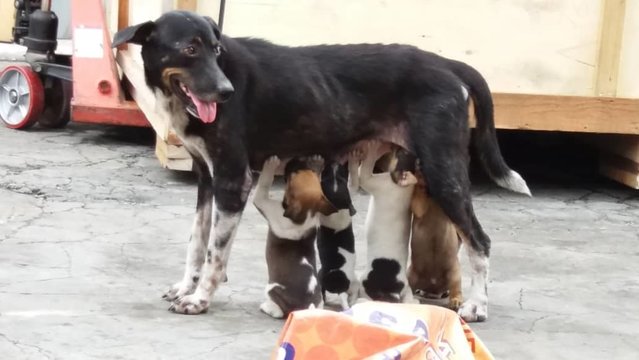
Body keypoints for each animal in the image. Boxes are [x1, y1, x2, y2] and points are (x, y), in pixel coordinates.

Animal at [252, 155, 338, 318]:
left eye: (292, 175)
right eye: (308, 169)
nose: (295, 158)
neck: (307, 213)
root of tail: (306, 306)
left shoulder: (263, 201)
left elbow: (264, 184)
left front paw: (271, 164)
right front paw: (318, 164)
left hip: (271, 288)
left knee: (279, 312)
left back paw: (266, 307)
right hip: (319, 304)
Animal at [410, 176, 464, 310]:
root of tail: (434, 289)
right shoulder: (419, 207)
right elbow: (419, 194)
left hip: (454, 274)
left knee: (456, 290)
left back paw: (455, 300)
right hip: (412, 275)